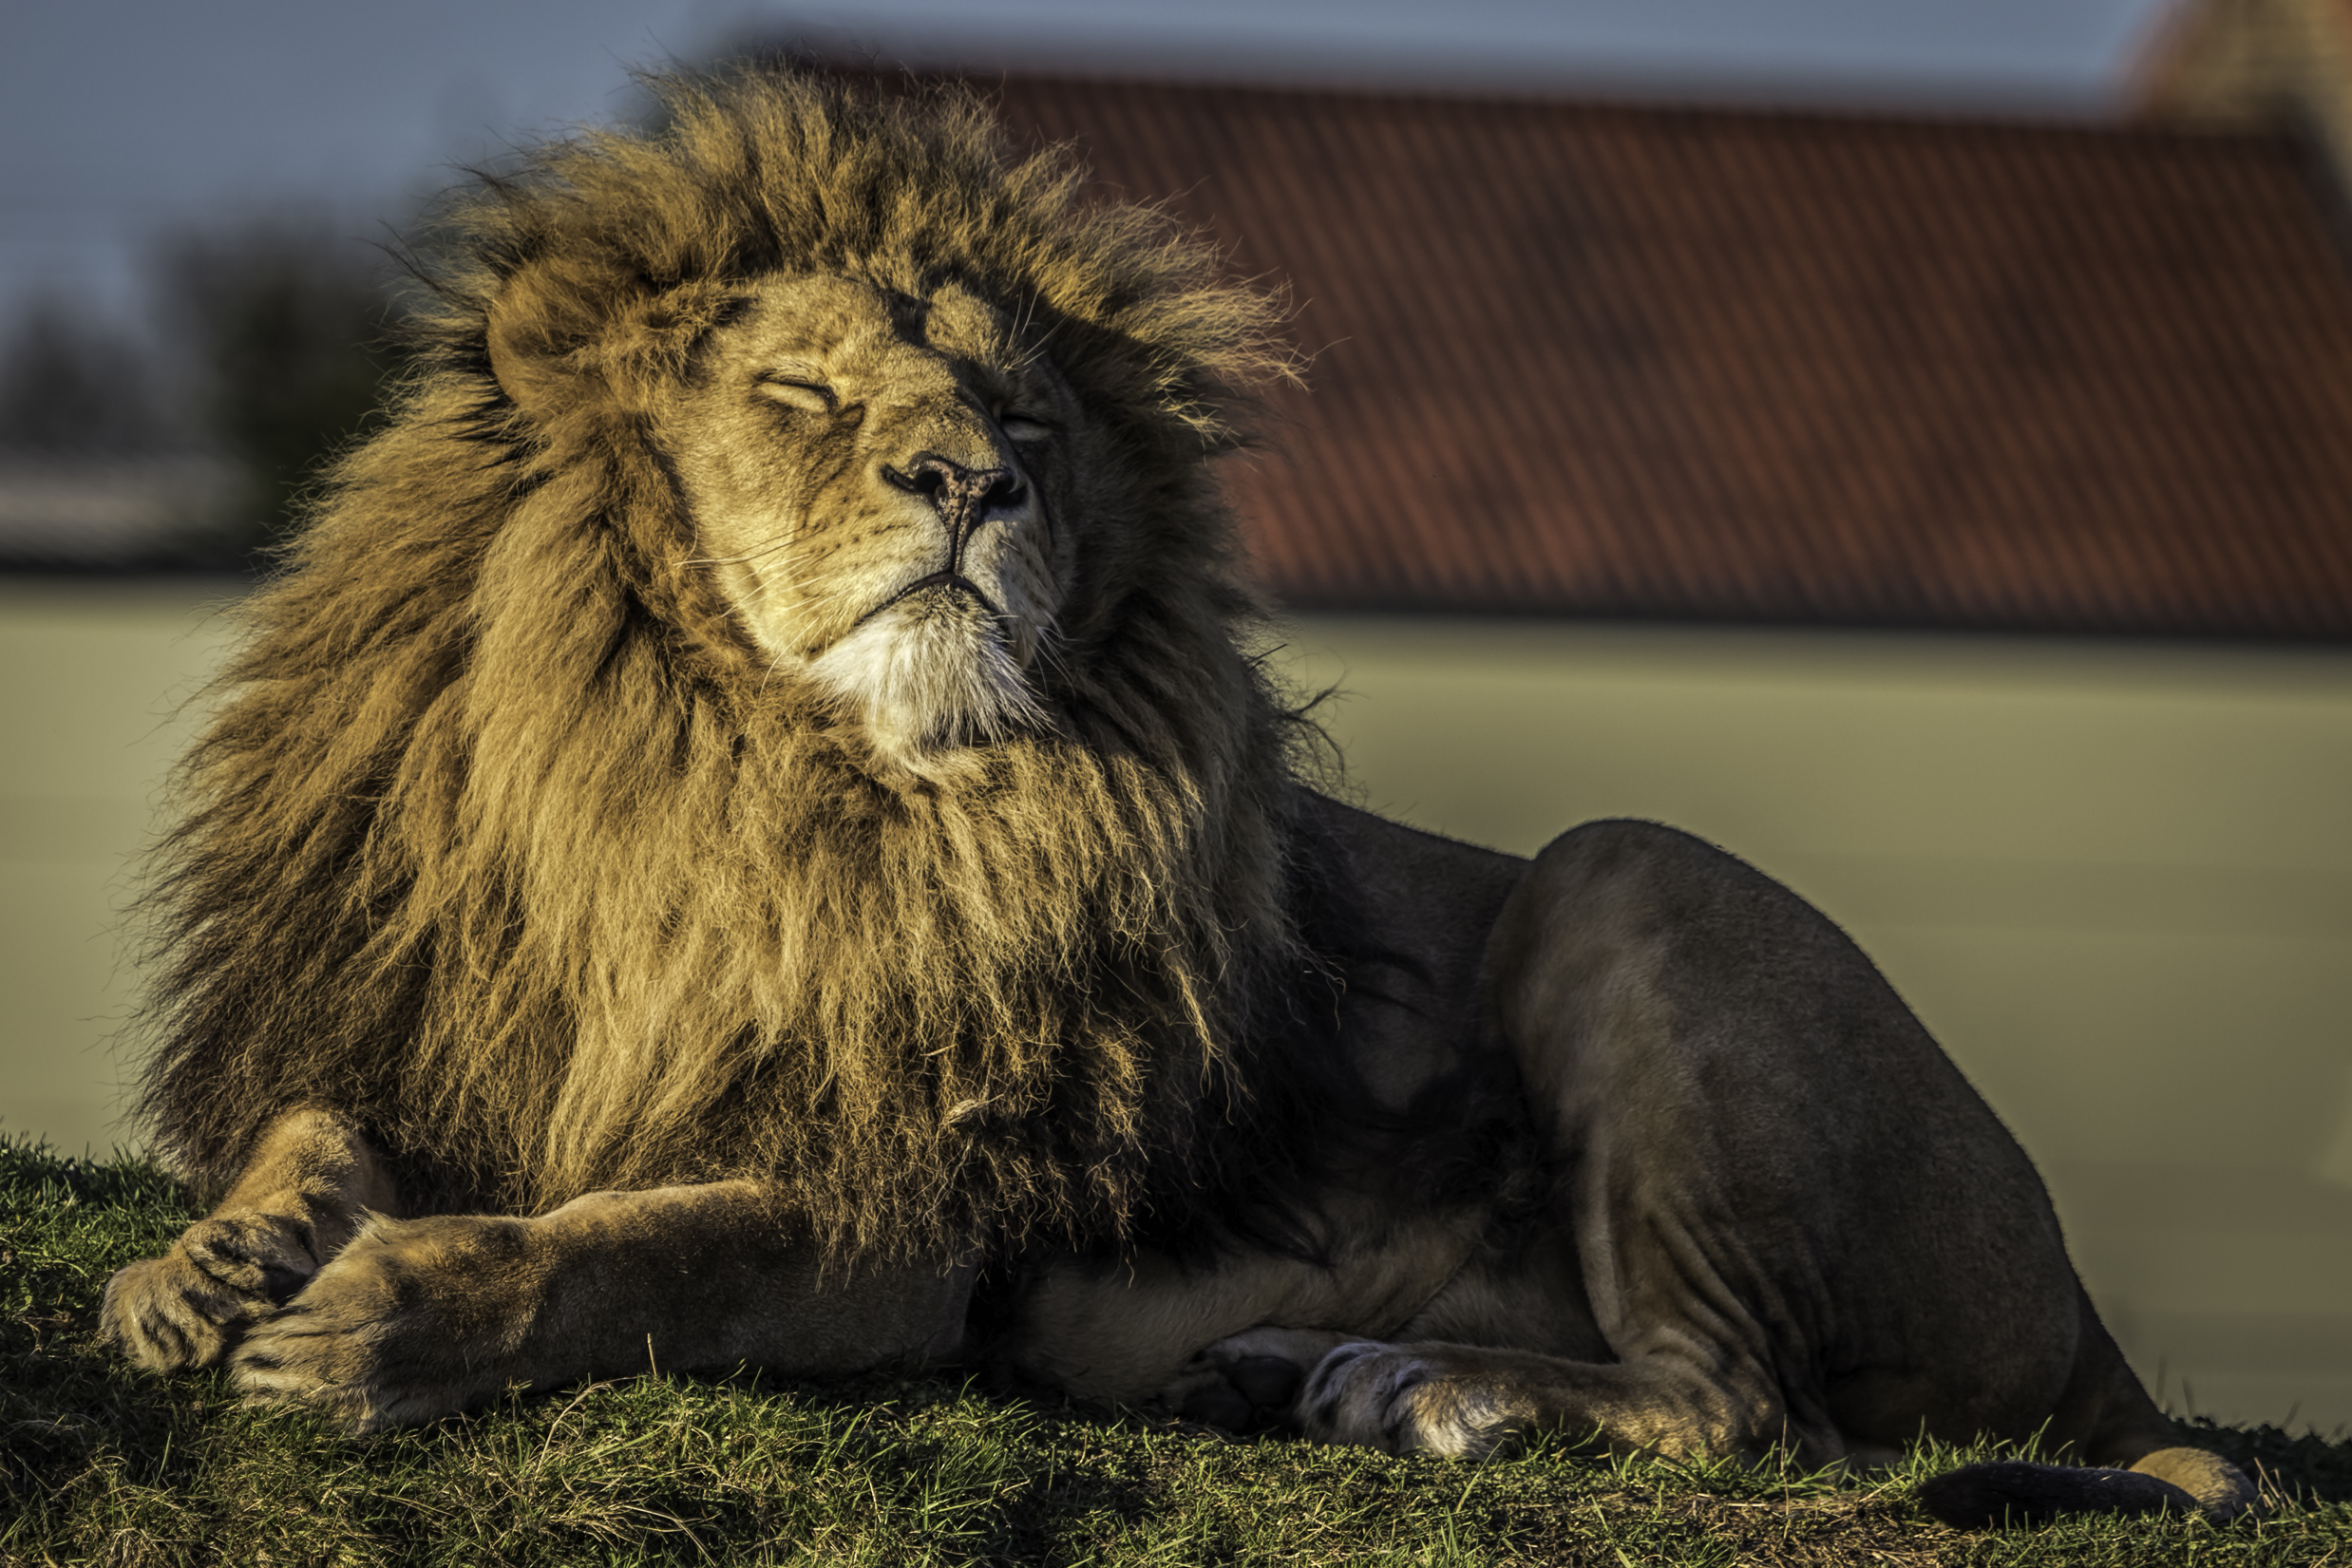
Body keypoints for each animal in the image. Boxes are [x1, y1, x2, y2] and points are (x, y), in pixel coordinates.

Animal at [105, 67, 2257, 1522]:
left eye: (1026, 418)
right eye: (803, 397)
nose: (973, 483)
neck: (723, 785)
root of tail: (2091, 1324)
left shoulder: (908, 1211)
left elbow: (625, 1249)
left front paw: (369, 1325)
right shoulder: (449, 1024)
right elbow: (314, 1128)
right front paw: (208, 1267)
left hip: (1625, 871)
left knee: (1753, 1409)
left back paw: (1425, 1389)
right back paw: (1285, 1370)